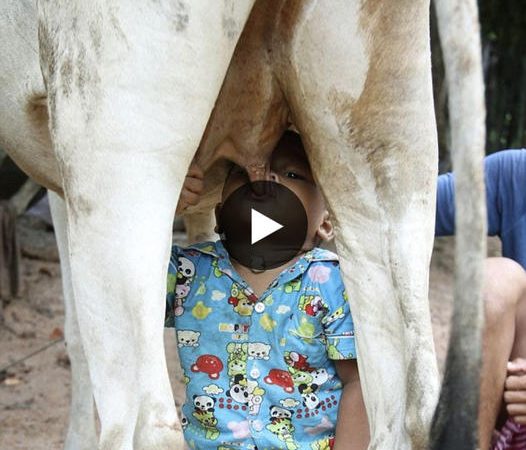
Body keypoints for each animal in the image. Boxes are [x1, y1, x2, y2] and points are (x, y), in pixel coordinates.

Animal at [0, 0, 486, 450]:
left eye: (291, 174)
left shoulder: (60, 185)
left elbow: (75, 338)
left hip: (107, 149)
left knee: (145, 423)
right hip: (385, 150)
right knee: (410, 409)